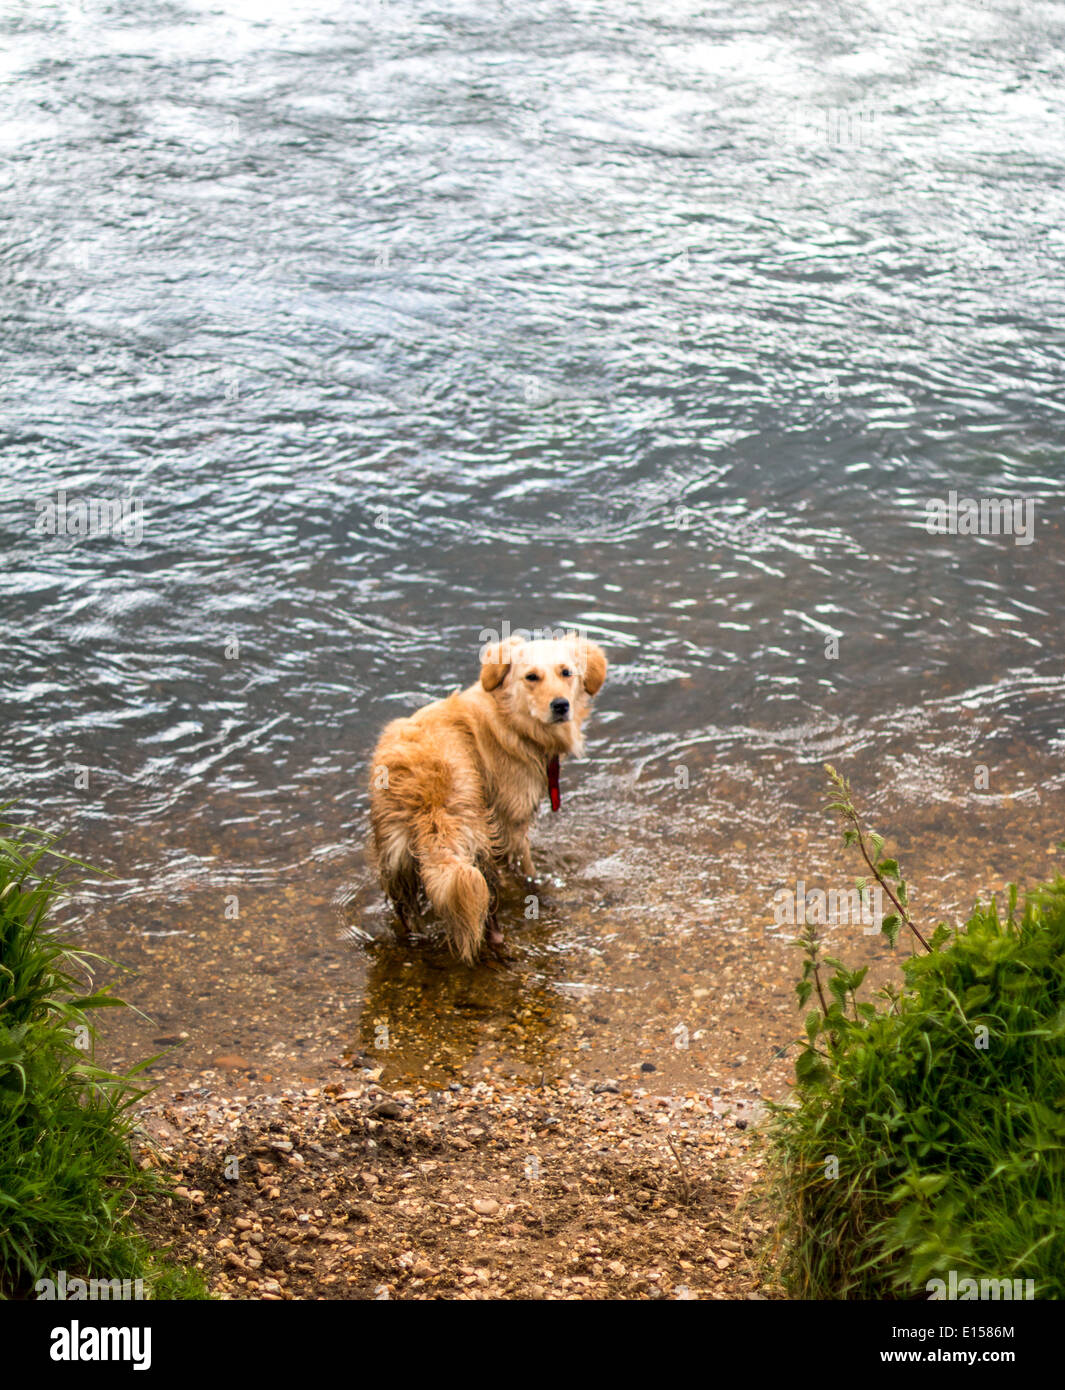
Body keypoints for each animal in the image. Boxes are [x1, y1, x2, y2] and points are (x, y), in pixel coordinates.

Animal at [369, 636, 608, 961]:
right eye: (531, 677)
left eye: (566, 672)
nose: (561, 705)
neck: (509, 716)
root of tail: (424, 791)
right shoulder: (513, 822)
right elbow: (526, 870)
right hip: (477, 844)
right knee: (486, 905)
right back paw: (500, 946)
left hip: (395, 858)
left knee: (407, 912)